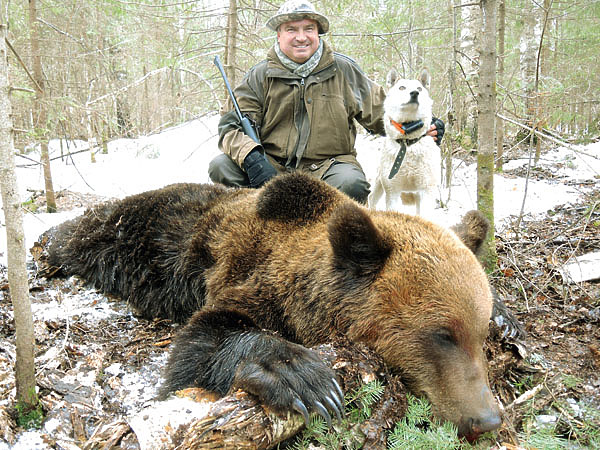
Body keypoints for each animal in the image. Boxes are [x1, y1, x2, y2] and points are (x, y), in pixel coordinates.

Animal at [39, 172, 502, 440]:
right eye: (442, 335)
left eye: (478, 335)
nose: (487, 418)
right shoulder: (252, 278)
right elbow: (198, 344)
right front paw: (296, 374)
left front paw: (508, 317)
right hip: (125, 233)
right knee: (76, 233)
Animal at [366, 69, 440, 217]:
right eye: (401, 88)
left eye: (419, 89)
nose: (415, 93)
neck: (407, 142)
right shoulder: (393, 191)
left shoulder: (425, 190)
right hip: (379, 183)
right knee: (371, 198)